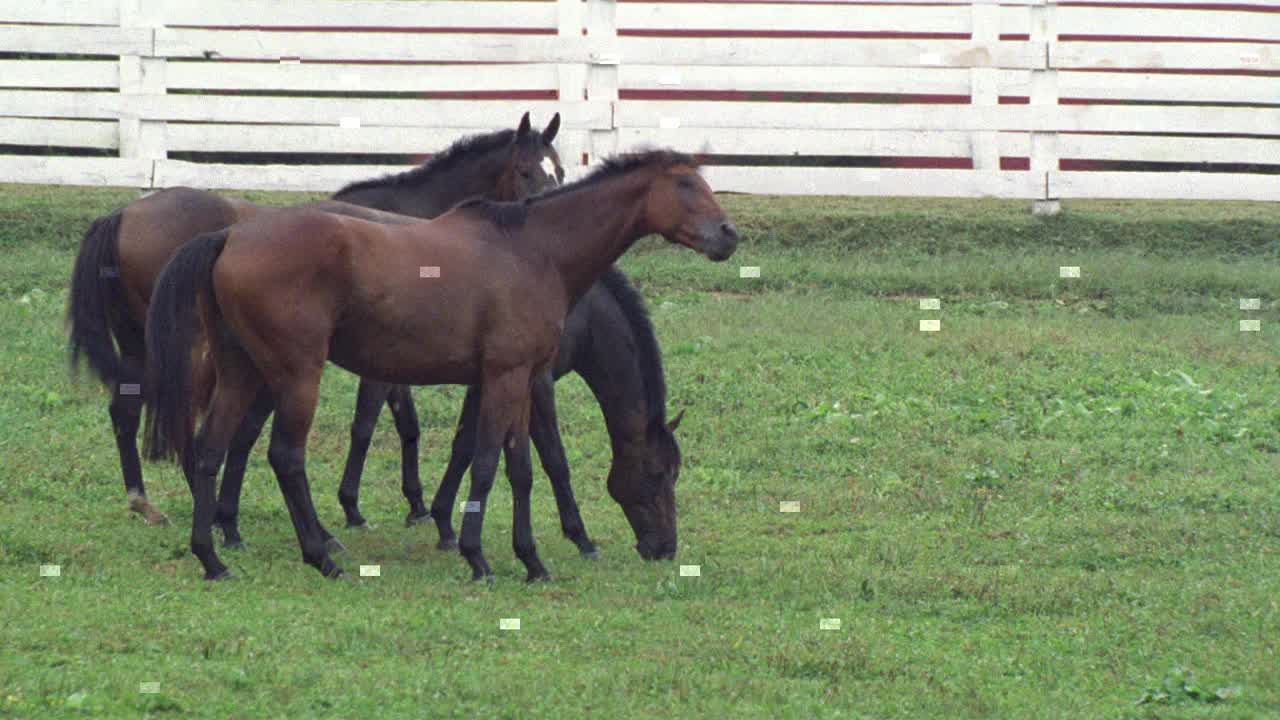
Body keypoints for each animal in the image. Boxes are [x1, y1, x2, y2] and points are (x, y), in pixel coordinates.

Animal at [67, 112, 560, 530]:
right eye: (524, 170)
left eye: (558, 169)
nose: (544, 207)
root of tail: (123, 214)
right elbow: (366, 425)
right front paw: (354, 506)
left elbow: (406, 424)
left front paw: (414, 502)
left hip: (141, 344)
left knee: (127, 407)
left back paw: (146, 501)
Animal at [144, 148, 737, 579]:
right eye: (686, 188)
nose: (664, 547)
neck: (536, 250)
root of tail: (230, 235)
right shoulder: (509, 378)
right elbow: (494, 463)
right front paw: (479, 556)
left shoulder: (518, 381)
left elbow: (519, 468)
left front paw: (530, 559)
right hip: (295, 376)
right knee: (284, 457)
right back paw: (320, 555)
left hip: (243, 372)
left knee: (211, 449)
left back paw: (212, 557)